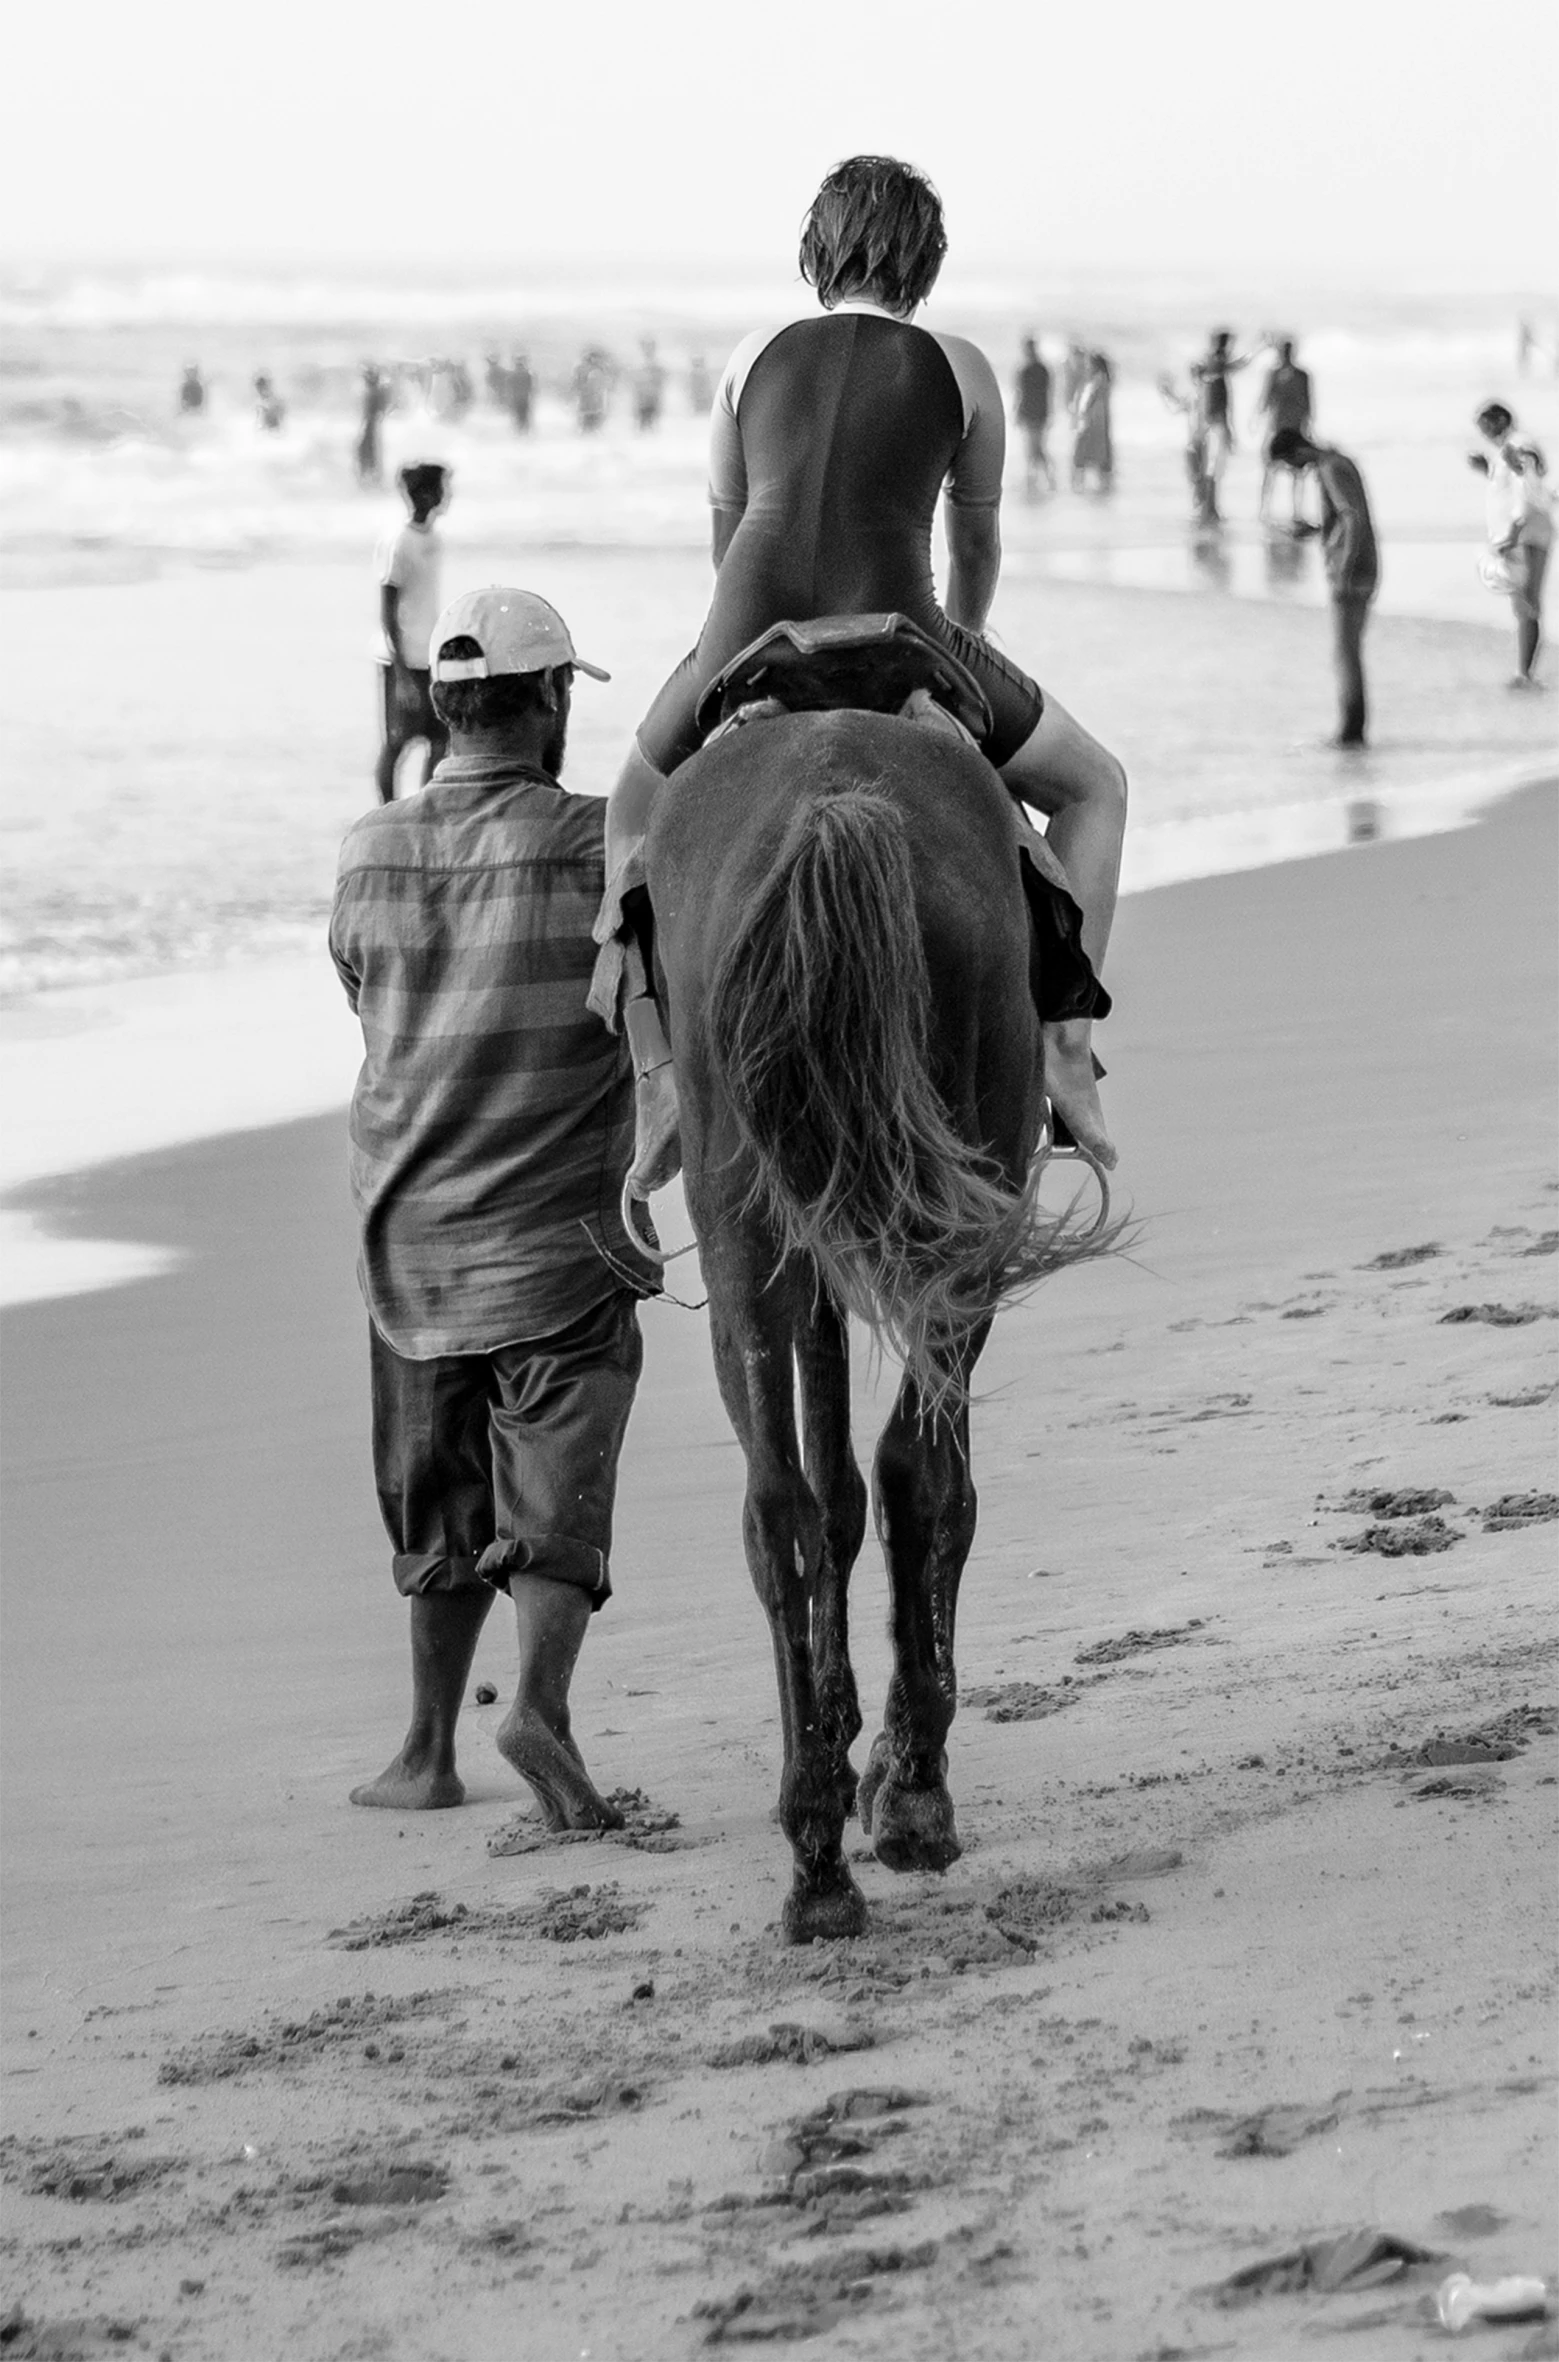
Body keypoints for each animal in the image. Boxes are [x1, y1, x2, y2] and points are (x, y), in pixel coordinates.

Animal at [642, 699, 1110, 1936]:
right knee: (908, 1475)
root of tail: (830, 804)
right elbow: (892, 1487)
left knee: (783, 1510)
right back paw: (902, 1793)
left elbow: (835, 1494)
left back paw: (818, 1849)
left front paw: (846, 1734)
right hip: (942, 1220)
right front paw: (881, 1752)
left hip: (751, 1230)